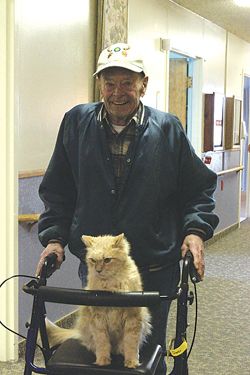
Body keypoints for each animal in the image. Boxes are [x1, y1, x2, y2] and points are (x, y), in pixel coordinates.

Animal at [45, 234, 151, 368]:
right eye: (93, 260)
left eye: (107, 260)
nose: (98, 270)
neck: (110, 287)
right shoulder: (98, 319)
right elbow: (102, 343)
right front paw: (102, 361)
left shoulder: (133, 318)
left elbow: (131, 343)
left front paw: (131, 362)